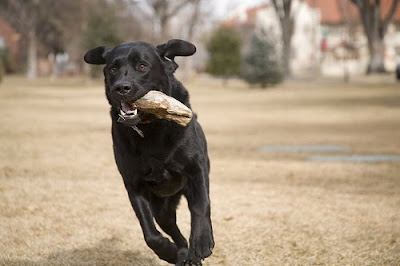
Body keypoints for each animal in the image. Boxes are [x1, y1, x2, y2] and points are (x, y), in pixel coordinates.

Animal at [83, 38, 214, 264]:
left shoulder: (196, 168)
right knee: (172, 229)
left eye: (142, 66)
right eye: (113, 69)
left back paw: (192, 255)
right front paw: (167, 251)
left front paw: (202, 241)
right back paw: (180, 253)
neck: (151, 127)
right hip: (162, 208)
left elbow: (201, 206)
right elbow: (149, 232)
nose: (121, 87)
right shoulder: (133, 183)